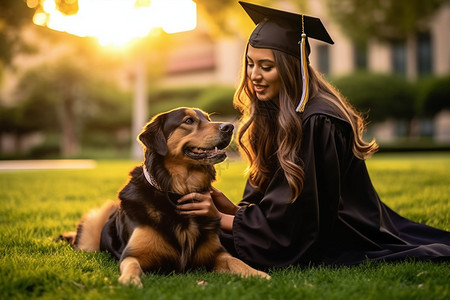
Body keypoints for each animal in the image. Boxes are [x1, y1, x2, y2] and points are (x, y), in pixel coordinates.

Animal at [59, 108, 270, 288]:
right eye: (188, 121)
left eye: (208, 119)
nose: (229, 127)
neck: (176, 193)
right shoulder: (132, 254)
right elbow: (131, 265)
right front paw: (130, 281)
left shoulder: (216, 254)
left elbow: (235, 260)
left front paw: (258, 274)